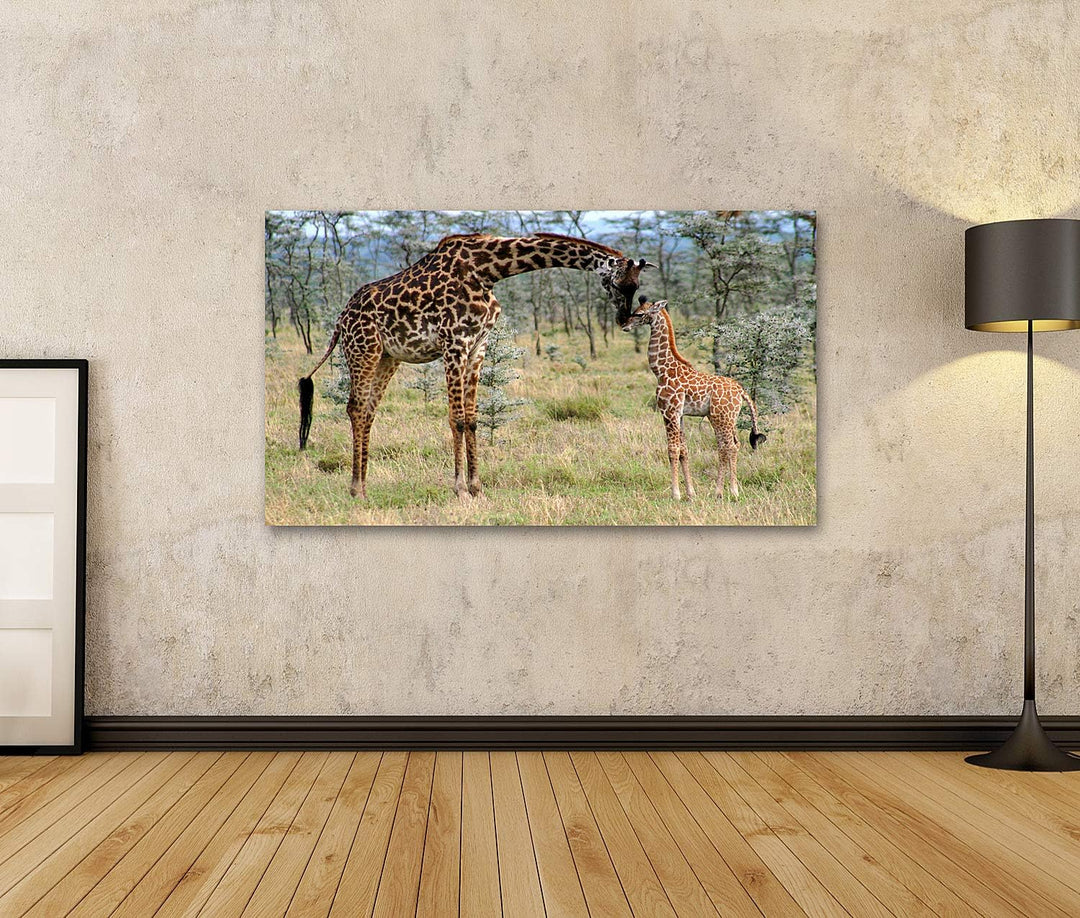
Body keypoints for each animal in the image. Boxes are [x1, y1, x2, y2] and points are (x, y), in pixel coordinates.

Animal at [299, 232, 654, 499]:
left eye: (637, 288)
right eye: (618, 284)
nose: (624, 320)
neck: (487, 271)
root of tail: (341, 318)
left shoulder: (477, 347)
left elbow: (471, 420)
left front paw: (476, 487)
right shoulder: (454, 343)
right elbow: (456, 419)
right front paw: (459, 489)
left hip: (388, 357)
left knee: (368, 410)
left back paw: (364, 484)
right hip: (363, 349)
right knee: (356, 408)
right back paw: (356, 489)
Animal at [622, 297, 766, 500]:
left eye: (639, 313)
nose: (624, 325)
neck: (661, 370)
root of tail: (741, 391)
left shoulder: (669, 412)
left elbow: (672, 450)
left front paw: (675, 494)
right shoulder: (679, 415)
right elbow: (684, 451)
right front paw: (690, 493)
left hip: (721, 418)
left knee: (728, 446)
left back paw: (730, 491)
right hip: (727, 419)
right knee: (731, 445)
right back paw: (722, 491)